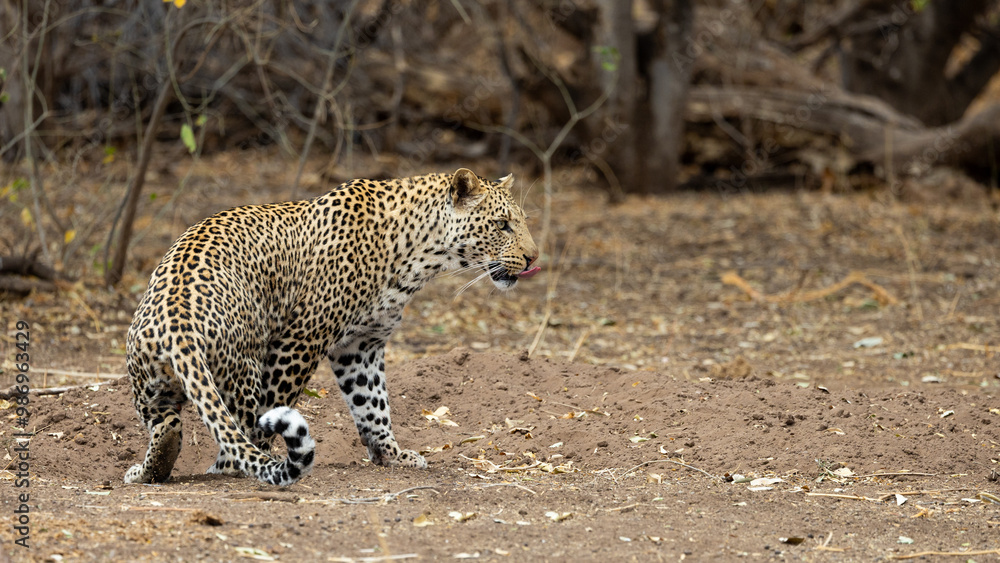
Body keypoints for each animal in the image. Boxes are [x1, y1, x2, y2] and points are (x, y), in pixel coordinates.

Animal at [123, 168, 540, 486]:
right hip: (243, 363)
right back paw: (231, 467)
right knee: (238, 423)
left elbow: (373, 405)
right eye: (502, 225)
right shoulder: (301, 339)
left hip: (148, 381)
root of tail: (178, 322)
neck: (420, 256)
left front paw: (392, 455)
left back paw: (149, 470)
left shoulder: (360, 346)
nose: (534, 257)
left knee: (166, 425)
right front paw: (262, 458)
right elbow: (273, 408)